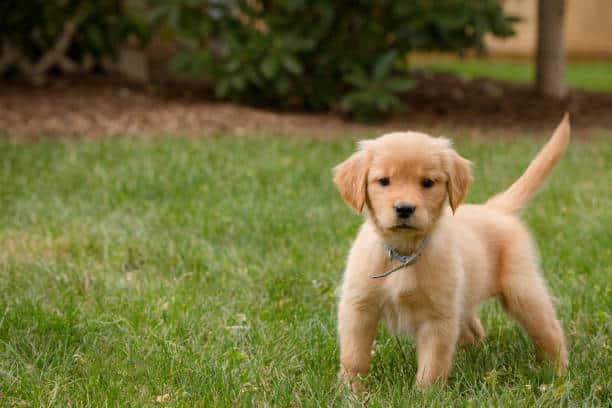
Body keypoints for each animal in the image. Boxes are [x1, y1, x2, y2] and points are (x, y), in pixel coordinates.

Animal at [334, 116, 568, 390]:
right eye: (383, 181)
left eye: (427, 182)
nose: (404, 209)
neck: (404, 253)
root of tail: (495, 209)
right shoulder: (358, 307)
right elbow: (354, 356)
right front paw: (351, 390)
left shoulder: (438, 317)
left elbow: (432, 365)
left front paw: (425, 394)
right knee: (475, 332)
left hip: (522, 289)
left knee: (550, 330)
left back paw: (558, 373)